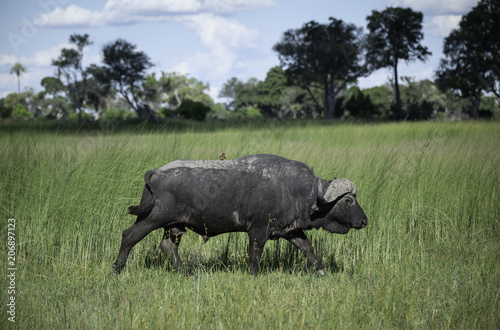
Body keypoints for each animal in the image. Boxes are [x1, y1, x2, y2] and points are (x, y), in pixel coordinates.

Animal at [112, 153, 368, 274]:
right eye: (348, 200)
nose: (364, 221)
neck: (295, 190)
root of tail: (155, 172)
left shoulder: (290, 230)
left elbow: (308, 248)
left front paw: (321, 270)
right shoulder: (258, 231)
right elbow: (254, 257)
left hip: (172, 226)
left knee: (168, 247)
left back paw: (187, 273)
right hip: (153, 218)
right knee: (129, 236)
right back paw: (117, 268)